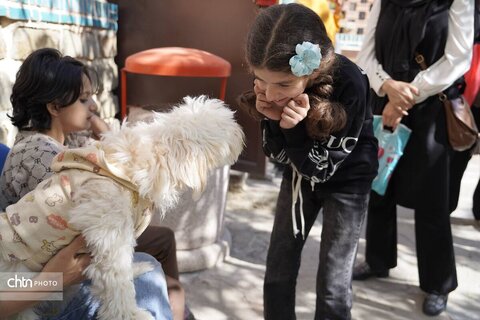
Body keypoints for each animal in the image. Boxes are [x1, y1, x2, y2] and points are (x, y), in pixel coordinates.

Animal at [0, 96, 246, 318]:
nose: (241, 132)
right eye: (226, 128)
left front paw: (136, 270)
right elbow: (116, 281)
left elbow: (124, 269)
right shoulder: (109, 234)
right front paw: (132, 315)